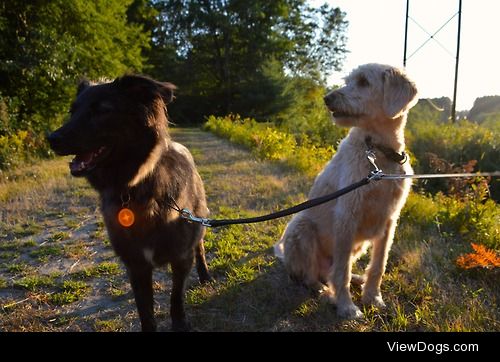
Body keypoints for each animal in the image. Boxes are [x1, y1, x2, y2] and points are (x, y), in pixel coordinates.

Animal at [50, 75, 213, 330]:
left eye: (102, 110)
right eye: (72, 111)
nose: (51, 139)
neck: (134, 190)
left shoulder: (180, 256)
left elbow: (176, 297)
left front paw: (180, 323)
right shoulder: (135, 264)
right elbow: (144, 310)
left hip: (198, 221)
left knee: (200, 248)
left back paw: (205, 275)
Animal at [274, 63, 418, 318]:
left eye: (363, 82)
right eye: (348, 80)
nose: (327, 98)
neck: (378, 155)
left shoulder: (390, 220)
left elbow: (378, 264)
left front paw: (373, 297)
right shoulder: (347, 216)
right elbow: (341, 271)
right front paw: (346, 306)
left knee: (331, 271)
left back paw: (357, 279)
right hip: (300, 227)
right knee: (310, 275)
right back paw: (322, 290)